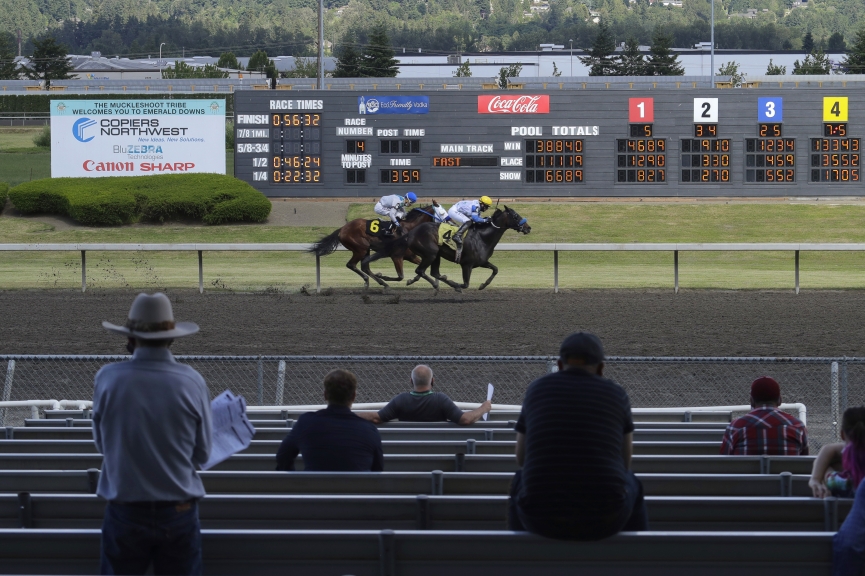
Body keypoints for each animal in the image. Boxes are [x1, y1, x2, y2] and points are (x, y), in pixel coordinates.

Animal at [308, 205, 438, 290]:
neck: (409, 229)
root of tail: (342, 229)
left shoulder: (411, 256)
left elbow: (421, 269)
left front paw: (413, 280)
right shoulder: (396, 256)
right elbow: (401, 276)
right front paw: (383, 276)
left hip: (365, 250)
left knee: (365, 266)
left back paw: (380, 282)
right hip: (361, 248)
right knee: (352, 265)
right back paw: (372, 280)